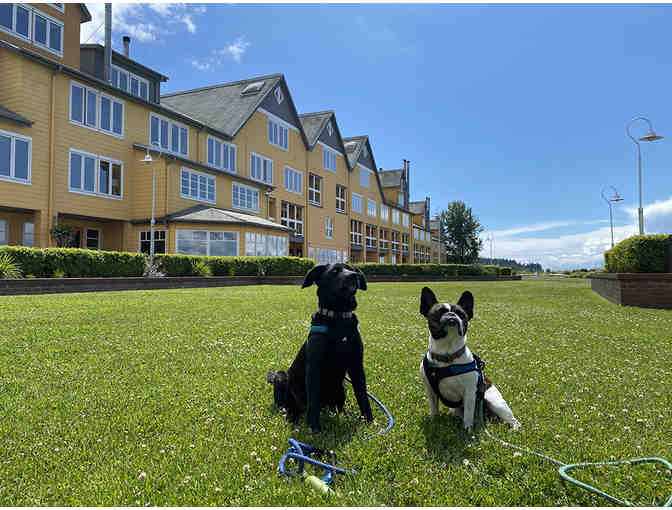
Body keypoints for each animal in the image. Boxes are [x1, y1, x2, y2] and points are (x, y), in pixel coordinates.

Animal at [267, 263, 374, 433]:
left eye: (353, 269)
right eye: (335, 271)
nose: (353, 276)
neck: (338, 318)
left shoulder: (356, 366)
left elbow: (362, 395)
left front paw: (369, 421)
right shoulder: (314, 368)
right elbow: (314, 401)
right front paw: (314, 428)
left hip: (341, 387)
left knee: (336, 406)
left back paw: (342, 414)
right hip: (282, 376)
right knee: (291, 406)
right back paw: (292, 418)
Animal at [419, 286, 520, 431]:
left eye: (462, 315)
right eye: (439, 313)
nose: (452, 315)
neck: (447, 356)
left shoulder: (469, 394)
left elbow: (468, 415)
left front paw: (467, 430)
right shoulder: (431, 391)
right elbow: (434, 409)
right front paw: (434, 421)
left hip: (495, 401)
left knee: (513, 420)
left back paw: (514, 429)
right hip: (457, 409)